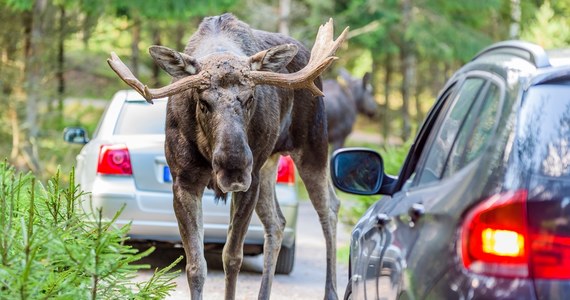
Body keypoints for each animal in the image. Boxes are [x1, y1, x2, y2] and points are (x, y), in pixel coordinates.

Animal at [106, 13, 346, 300]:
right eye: (203, 102)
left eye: (250, 98)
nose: (233, 166)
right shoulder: (184, 182)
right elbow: (195, 266)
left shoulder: (249, 182)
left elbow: (232, 258)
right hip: (267, 165)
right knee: (277, 223)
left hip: (311, 146)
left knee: (329, 208)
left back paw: (331, 291)